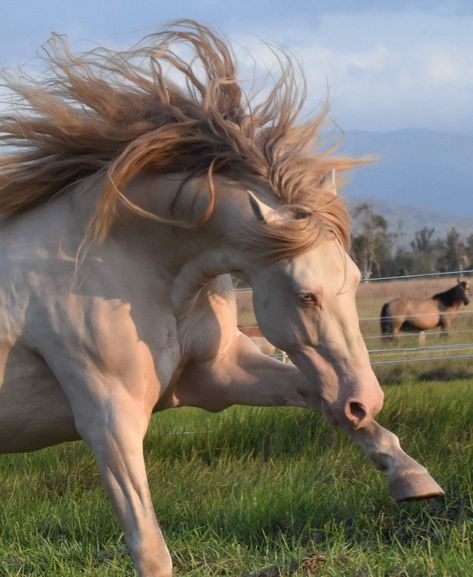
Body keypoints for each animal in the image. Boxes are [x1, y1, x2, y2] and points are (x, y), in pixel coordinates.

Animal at [0, 19, 442, 576]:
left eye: (357, 280)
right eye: (306, 295)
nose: (365, 400)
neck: (125, 260)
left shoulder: (216, 376)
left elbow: (313, 395)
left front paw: (412, 478)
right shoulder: (110, 422)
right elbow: (150, 549)